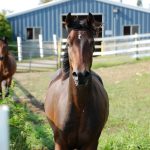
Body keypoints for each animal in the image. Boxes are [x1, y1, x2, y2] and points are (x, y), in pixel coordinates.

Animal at [44, 13, 109, 150]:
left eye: (92, 43)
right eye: (68, 43)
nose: (81, 75)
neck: (79, 107)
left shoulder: (91, 144)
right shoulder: (60, 143)